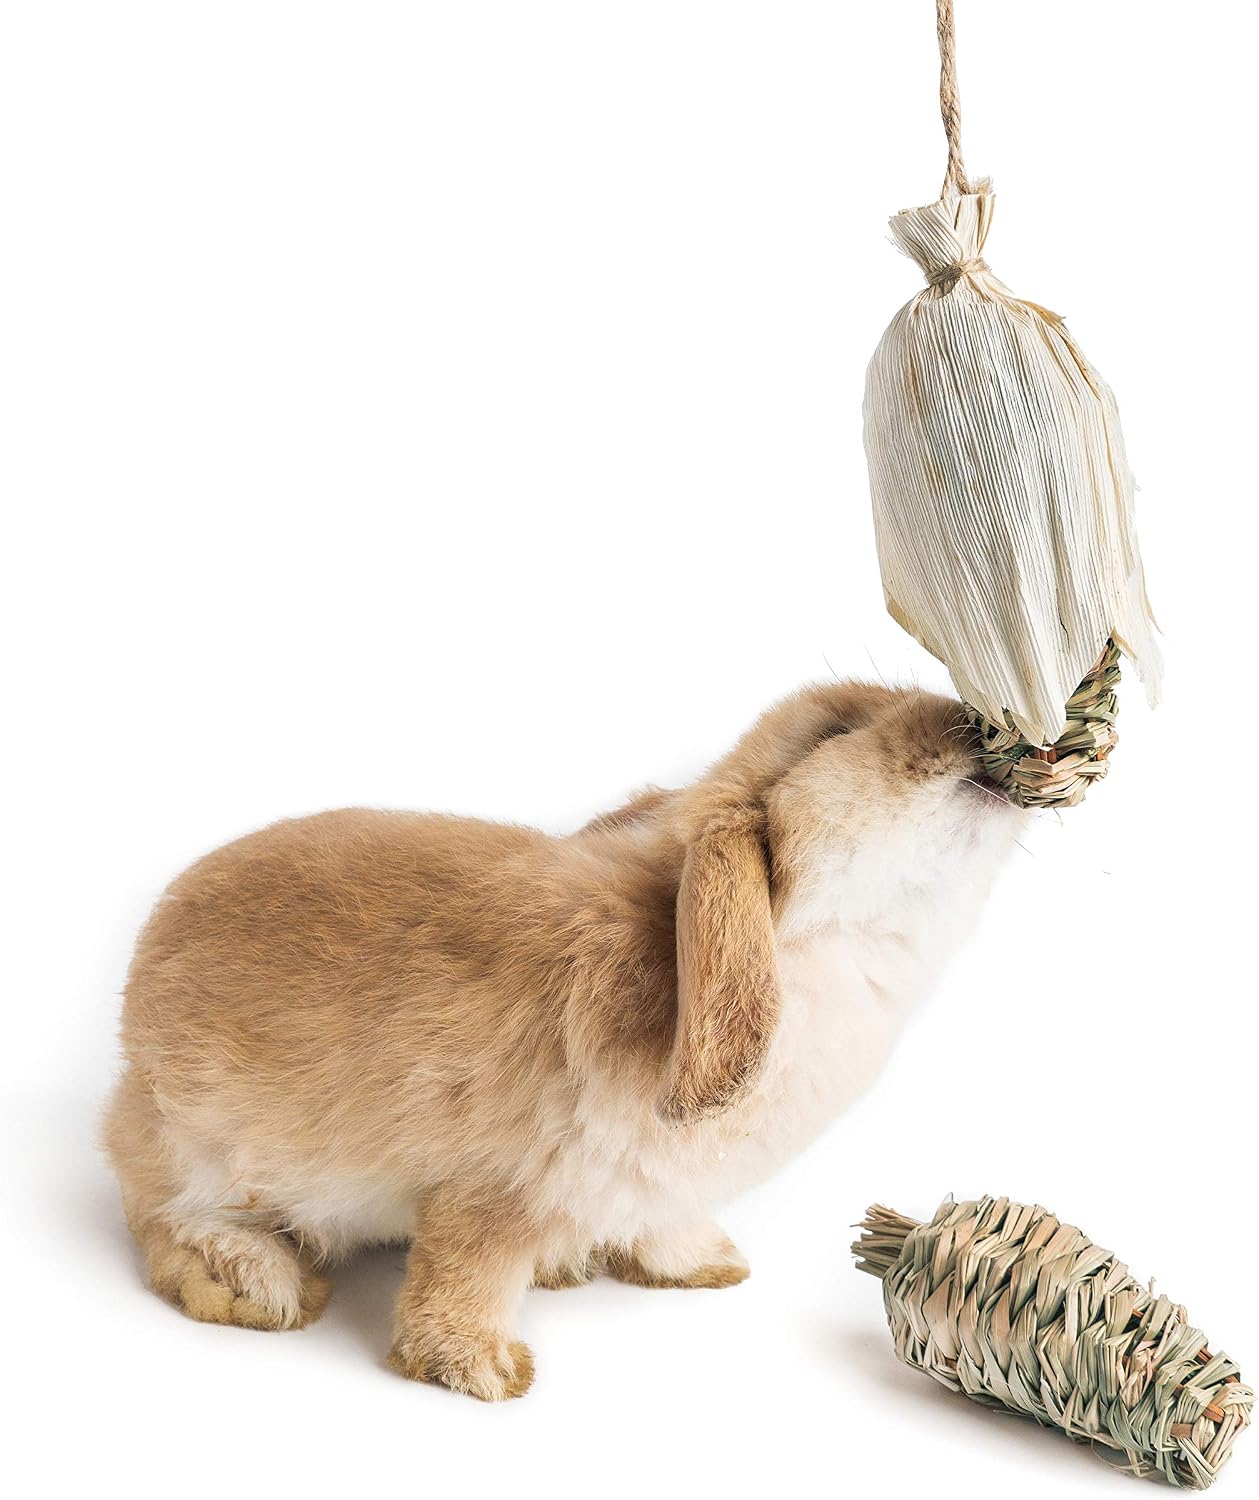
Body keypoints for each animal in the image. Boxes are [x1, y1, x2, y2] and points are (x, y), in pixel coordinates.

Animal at [104, 679, 1024, 1399]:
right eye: (835, 732)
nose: (971, 717)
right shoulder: (493, 1190)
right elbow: (464, 1277)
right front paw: (480, 1370)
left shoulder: (656, 1189)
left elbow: (661, 1227)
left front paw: (706, 1265)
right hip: (202, 1157)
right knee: (162, 1228)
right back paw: (256, 1284)